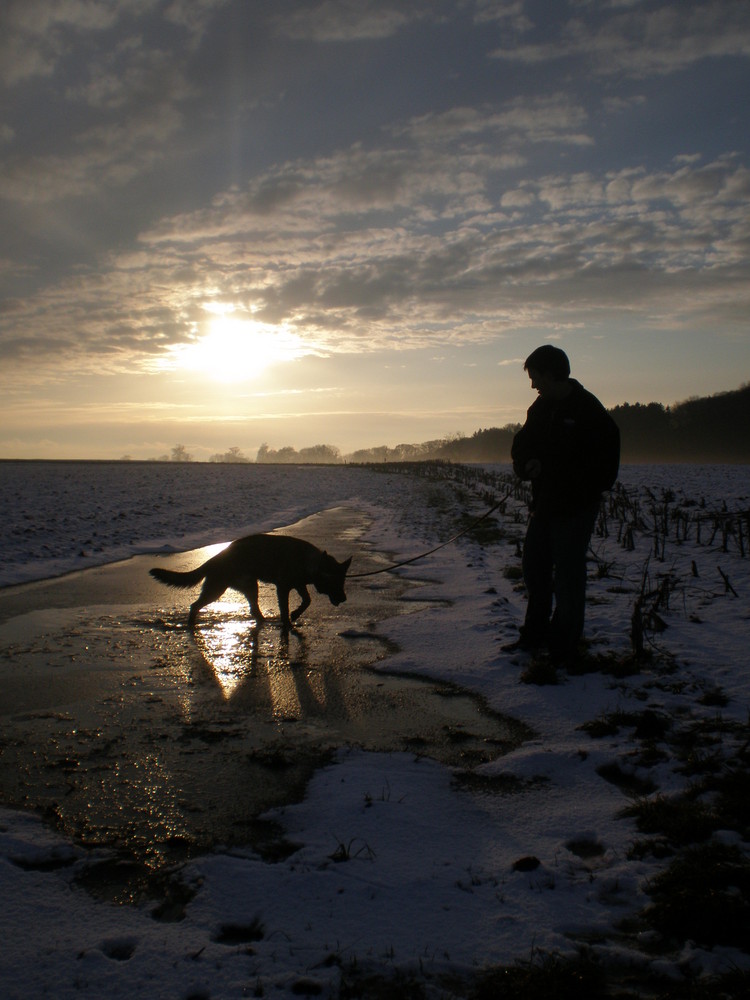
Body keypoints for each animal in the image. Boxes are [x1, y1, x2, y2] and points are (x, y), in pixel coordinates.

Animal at [153, 536, 356, 628]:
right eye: (333, 582)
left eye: (342, 581)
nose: (344, 599)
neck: (310, 562)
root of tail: (216, 557)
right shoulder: (283, 588)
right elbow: (285, 609)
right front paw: (288, 623)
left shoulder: (299, 585)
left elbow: (307, 600)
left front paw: (296, 614)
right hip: (218, 589)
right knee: (194, 605)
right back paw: (190, 625)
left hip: (249, 586)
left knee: (253, 609)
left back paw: (263, 621)